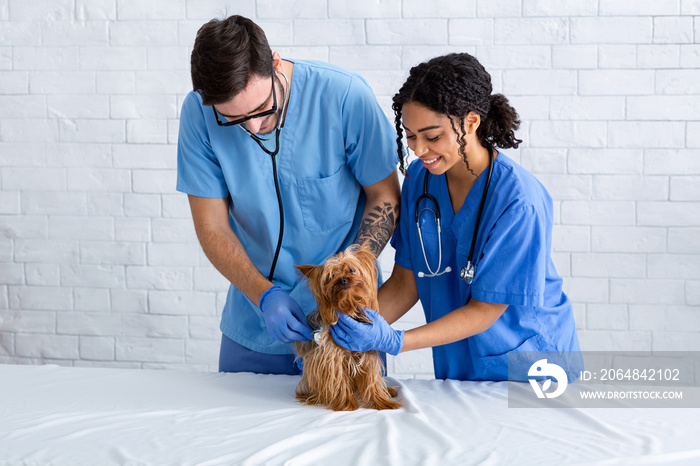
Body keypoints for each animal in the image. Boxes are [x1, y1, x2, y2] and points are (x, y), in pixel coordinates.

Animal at [292, 244, 402, 412]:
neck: (349, 308)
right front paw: (346, 403)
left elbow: (372, 380)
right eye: (331, 276)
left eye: (352, 269)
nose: (342, 280)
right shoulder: (332, 356)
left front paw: (382, 402)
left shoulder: (367, 348)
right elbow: (338, 380)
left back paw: (388, 391)